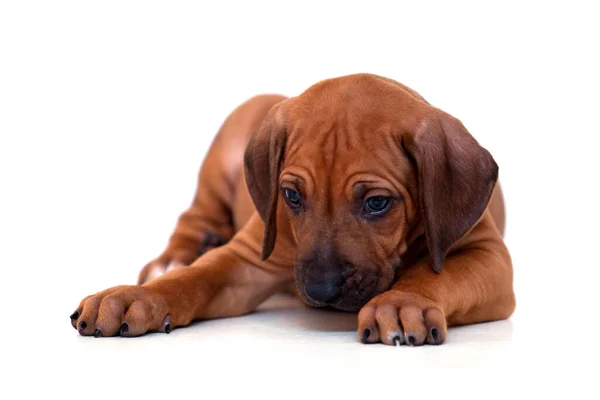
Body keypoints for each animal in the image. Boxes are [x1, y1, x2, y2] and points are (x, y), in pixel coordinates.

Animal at [68, 73, 512, 346]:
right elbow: (193, 278)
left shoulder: (487, 253)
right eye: (292, 196)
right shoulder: (247, 259)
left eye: (377, 203)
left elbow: (436, 273)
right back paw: (170, 260)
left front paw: (403, 301)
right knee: (192, 220)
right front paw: (136, 297)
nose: (320, 291)